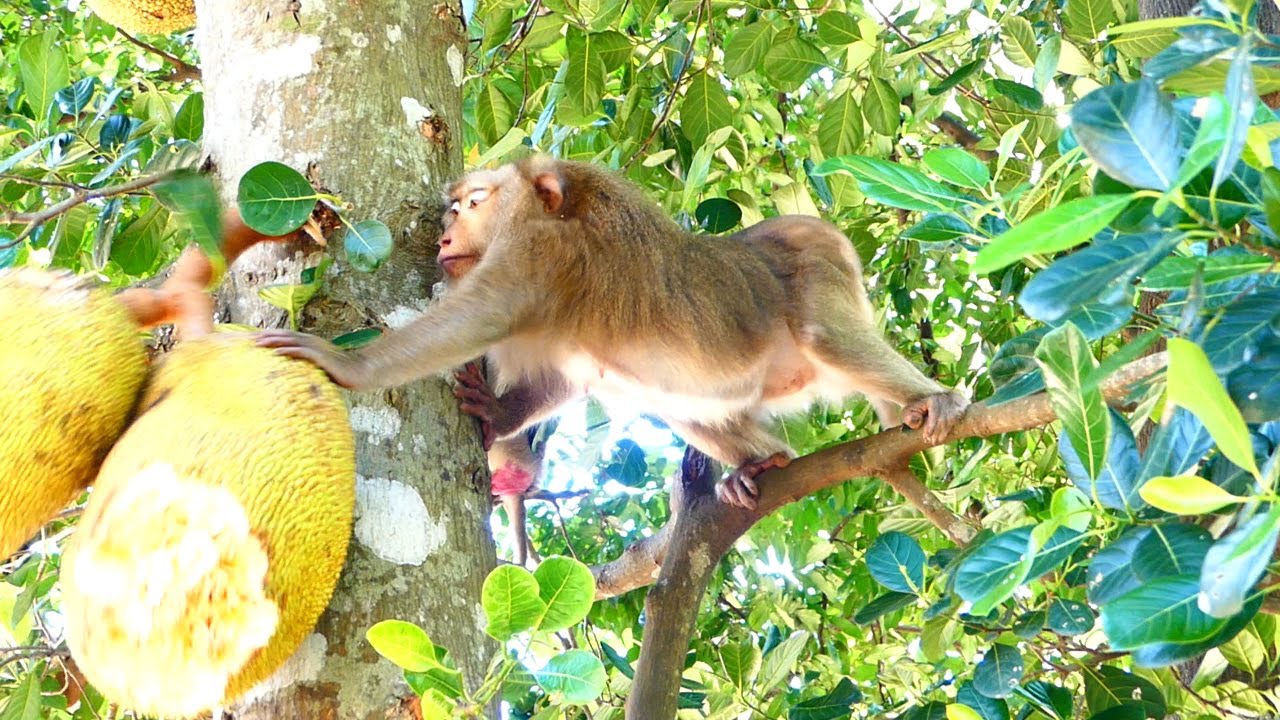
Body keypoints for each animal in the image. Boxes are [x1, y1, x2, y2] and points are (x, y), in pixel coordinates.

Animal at [255, 156, 969, 510]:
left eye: (474, 204)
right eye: (452, 211)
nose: (445, 236)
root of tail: (822, 232)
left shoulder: (537, 255)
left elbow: (479, 318)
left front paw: (350, 366)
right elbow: (572, 372)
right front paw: (501, 413)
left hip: (817, 269)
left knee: (828, 335)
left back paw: (935, 399)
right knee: (683, 405)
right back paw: (764, 461)